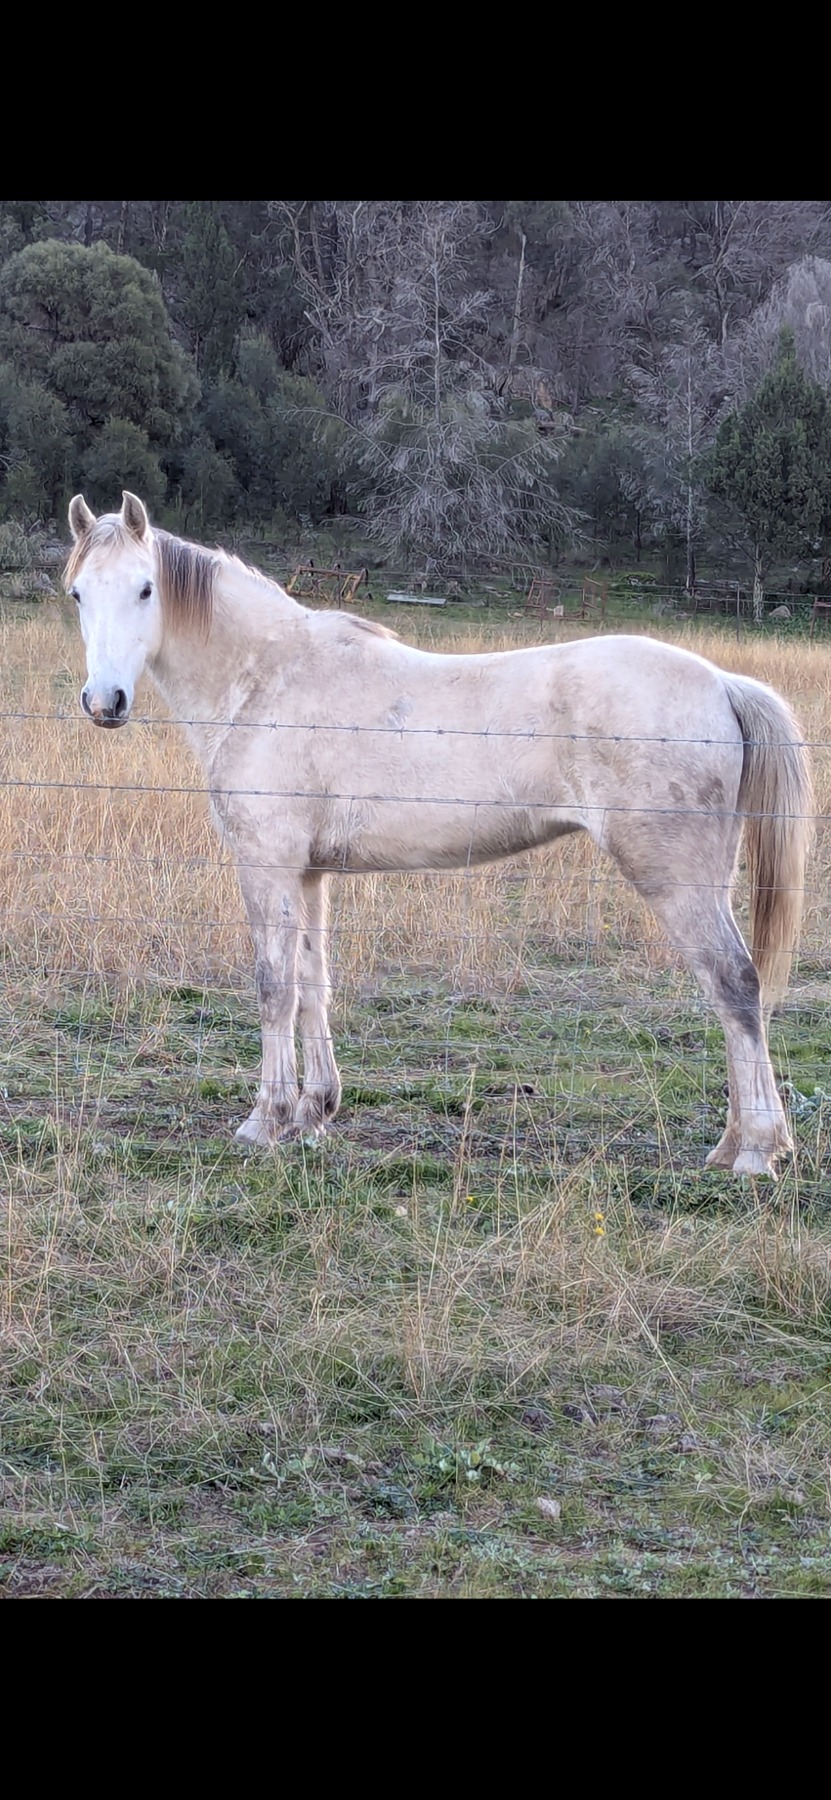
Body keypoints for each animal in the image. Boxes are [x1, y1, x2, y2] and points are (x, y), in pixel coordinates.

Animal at [64, 492, 813, 1178]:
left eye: (145, 587)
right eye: (77, 593)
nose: (105, 702)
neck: (265, 681)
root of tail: (720, 683)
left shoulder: (266, 864)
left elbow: (274, 985)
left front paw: (264, 1120)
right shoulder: (308, 873)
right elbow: (312, 983)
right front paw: (314, 1114)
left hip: (676, 880)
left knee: (733, 984)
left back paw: (755, 1152)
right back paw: (733, 1145)